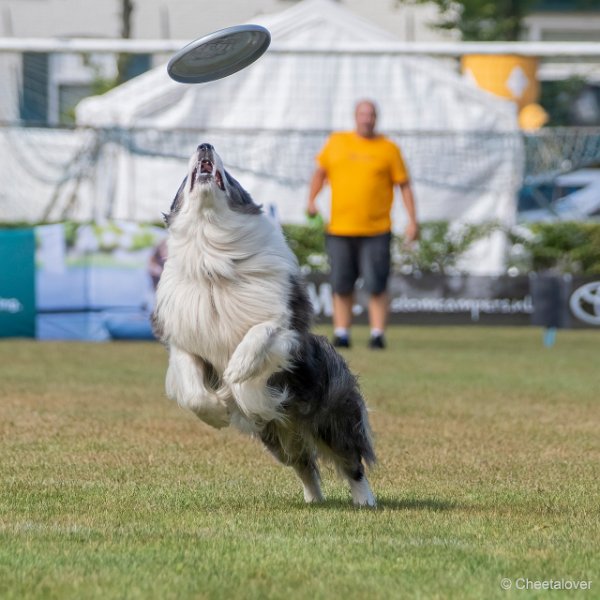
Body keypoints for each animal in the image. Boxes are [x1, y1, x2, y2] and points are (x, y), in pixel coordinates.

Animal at [152, 145, 376, 506]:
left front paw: (237, 371)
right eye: (183, 182)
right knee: (304, 464)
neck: (213, 256)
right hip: (277, 436)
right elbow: (192, 390)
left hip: (331, 416)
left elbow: (260, 333)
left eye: (230, 178)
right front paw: (218, 410)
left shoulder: (288, 329)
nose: (204, 145)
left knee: (351, 459)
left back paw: (365, 500)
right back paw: (314, 500)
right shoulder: (185, 343)